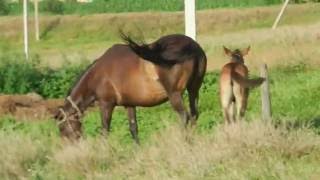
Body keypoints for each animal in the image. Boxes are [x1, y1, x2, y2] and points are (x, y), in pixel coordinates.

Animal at [53, 33, 206, 143]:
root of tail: (191, 47)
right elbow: (133, 128)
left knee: (184, 116)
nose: (71, 145)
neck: (98, 75)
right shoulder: (129, 104)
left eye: (62, 127)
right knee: (194, 114)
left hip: (175, 94)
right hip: (193, 90)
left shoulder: (106, 104)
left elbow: (105, 130)